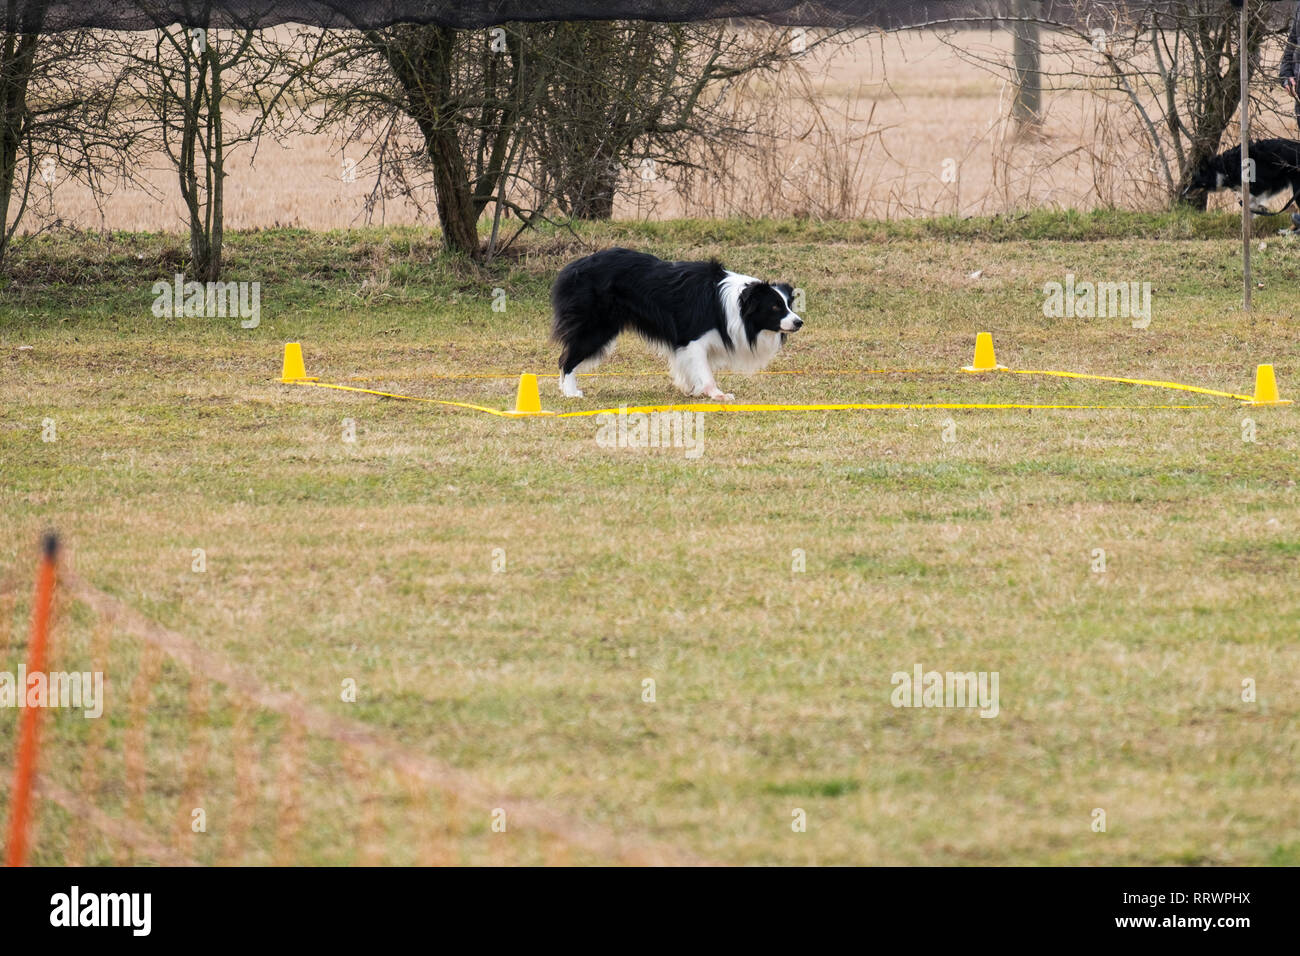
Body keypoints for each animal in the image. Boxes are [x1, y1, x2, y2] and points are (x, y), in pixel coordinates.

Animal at [551, 248, 800, 403]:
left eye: (788, 304)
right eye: (775, 307)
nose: (799, 322)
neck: (737, 303)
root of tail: (570, 269)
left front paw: (692, 389)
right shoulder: (693, 337)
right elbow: (704, 369)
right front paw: (717, 394)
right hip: (597, 326)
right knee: (567, 358)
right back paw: (571, 392)